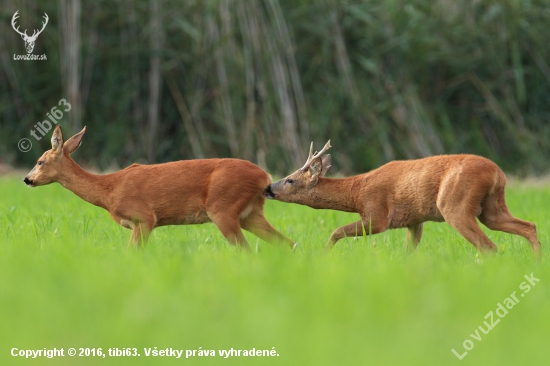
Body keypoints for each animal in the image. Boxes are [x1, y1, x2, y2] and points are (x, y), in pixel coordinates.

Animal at [24, 125, 298, 249]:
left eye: (39, 161)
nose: (27, 179)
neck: (109, 191)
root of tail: (265, 175)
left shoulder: (144, 218)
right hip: (250, 213)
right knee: (288, 243)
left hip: (223, 208)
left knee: (247, 249)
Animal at [268, 142, 544, 256]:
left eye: (290, 180)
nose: (269, 187)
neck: (357, 191)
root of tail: (497, 172)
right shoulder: (414, 221)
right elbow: (408, 252)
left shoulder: (377, 214)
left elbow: (336, 231)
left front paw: (322, 256)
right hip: (491, 208)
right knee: (529, 226)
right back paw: (537, 262)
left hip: (454, 204)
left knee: (490, 246)